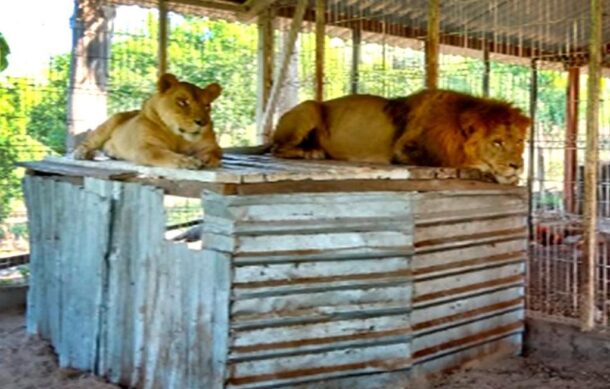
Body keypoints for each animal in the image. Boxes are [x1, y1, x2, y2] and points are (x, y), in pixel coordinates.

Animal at [72, 73, 222, 169]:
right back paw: (82, 153)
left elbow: (215, 152)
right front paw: (188, 161)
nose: (203, 123)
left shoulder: (211, 146)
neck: (178, 137)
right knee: (89, 141)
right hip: (111, 122)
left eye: (207, 106)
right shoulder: (145, 148)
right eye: (183, 102)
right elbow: (165, 154)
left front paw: (206, 159)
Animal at [270, 88, 528, 185]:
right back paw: (312, 152)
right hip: (309, 107)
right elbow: (457, 161)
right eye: (497, 142)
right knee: (277, 149)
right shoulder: (406, 149)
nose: (517, 165)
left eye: (519, 142)